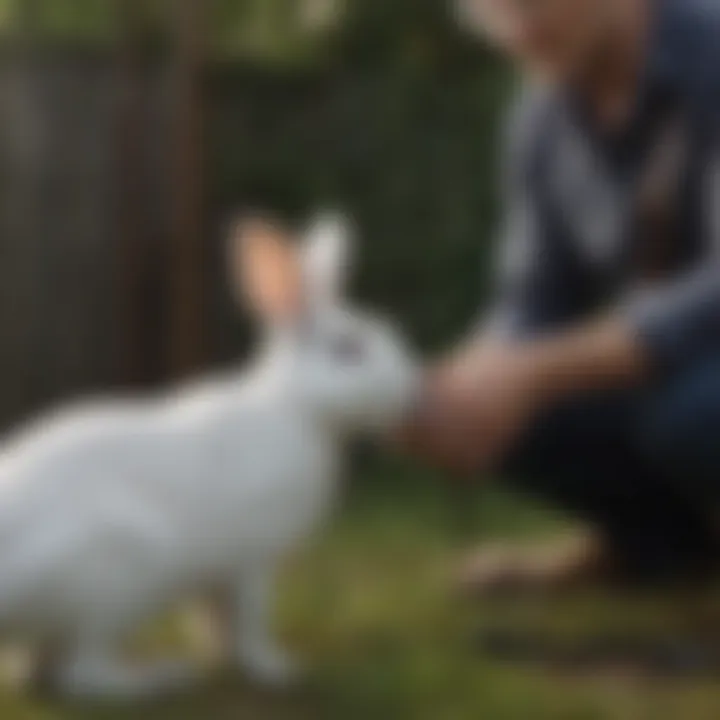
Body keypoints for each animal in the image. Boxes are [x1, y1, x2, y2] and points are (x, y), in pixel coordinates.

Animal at [0, 214, 422, 696]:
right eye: (347, 348)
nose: (413, 392)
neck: (296, 410)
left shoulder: (216, 578)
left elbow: (218, 623)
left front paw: (224, 658)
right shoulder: (251, 564)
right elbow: (250, 622)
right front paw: (275, 670)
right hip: (114, 581)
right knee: (84, 674)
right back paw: (161, 677)